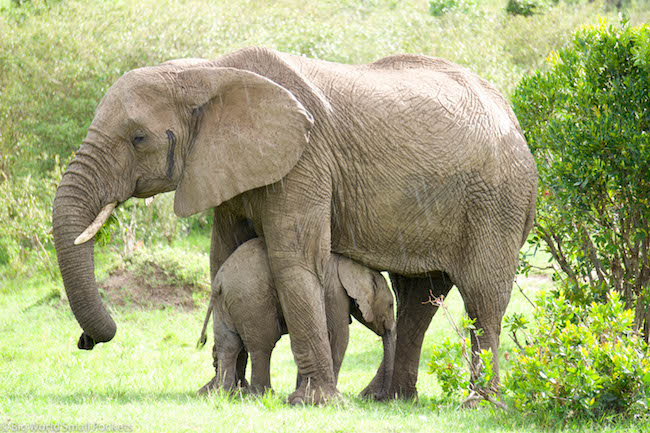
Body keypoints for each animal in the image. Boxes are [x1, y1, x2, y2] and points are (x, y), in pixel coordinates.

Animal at [196, 236, 394, 398]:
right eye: (392, 305)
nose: (377, 396)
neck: (355, 265)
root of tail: (219, 280)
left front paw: (301, 389)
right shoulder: (335, 291)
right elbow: (338, 335)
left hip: (225, 302)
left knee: (228, 344)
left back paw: (224, 394)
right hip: (251, 299)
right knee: (263, 344)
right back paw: (263, 395)